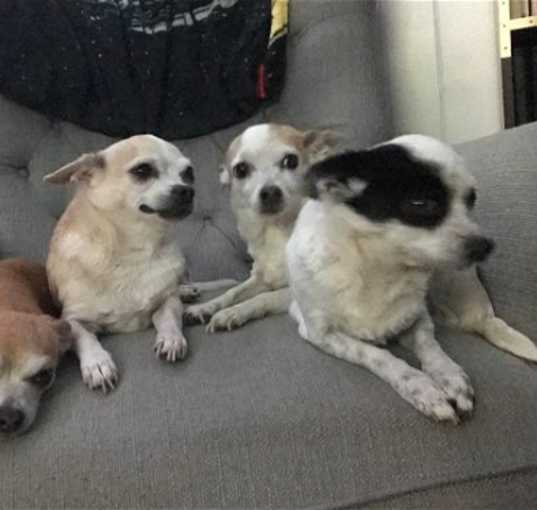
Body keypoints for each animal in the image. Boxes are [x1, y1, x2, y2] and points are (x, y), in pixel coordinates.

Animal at [44, 134, 199, 390]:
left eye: (189, 173)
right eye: (142, 170)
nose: (187, 190)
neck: (134, 251)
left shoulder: (167, 300)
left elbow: (169, 314)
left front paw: (171, 338)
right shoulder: (71, 320)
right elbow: (84, 337)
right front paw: (97, 364)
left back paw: (187, 289)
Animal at [284, 136, 494, 422]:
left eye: (471, 200)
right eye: (421, 204)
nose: (486, 246)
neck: (378, 269)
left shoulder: (417, 318)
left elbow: (430, 346)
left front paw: (450, 377)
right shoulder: (322, 335)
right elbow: (378, 356)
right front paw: (423, 389)